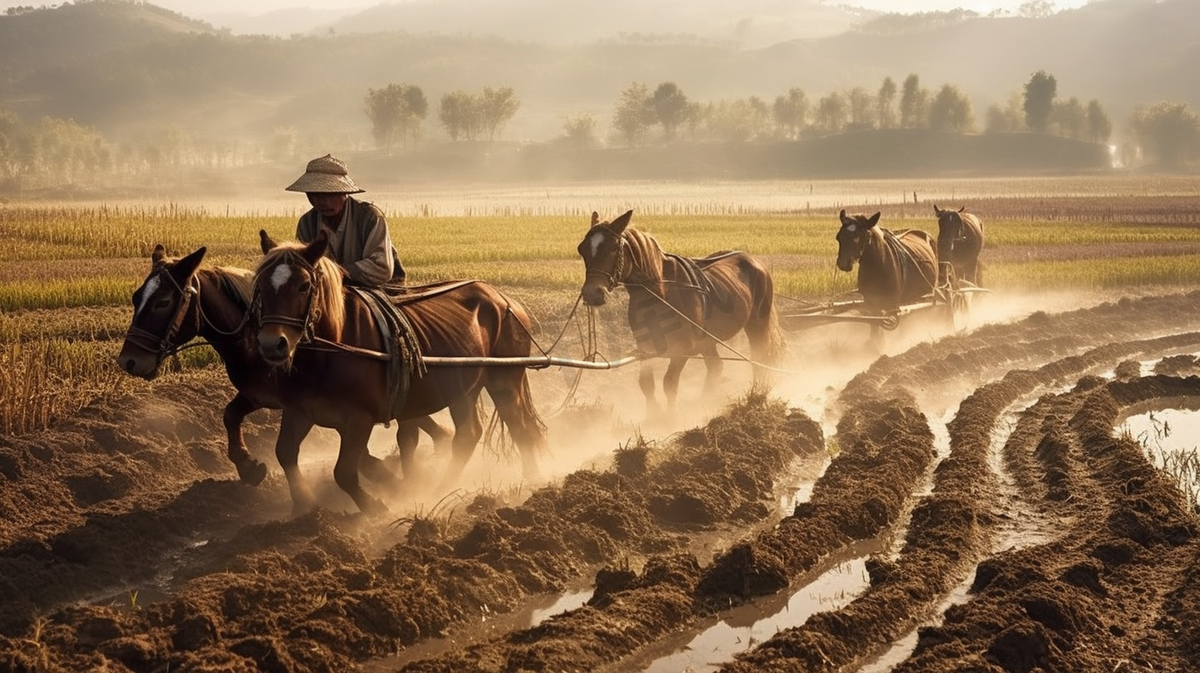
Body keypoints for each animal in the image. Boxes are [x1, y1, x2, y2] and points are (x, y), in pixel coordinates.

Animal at [117, 247, 451, 494]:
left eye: (163, 301)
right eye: (136, 297)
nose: (129, 360)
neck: (252, 344)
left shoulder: (310, 404)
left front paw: (382, 474)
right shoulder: (259, 395)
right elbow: (229, 416)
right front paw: (250, 467)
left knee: (411, 425)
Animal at [258, 230, 549, 513]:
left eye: (304, 285)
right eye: (261, 286)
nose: (272, 344)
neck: (333, 349)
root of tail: (505, 301)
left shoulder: (359, 420)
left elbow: (344, 473)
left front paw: (376, 507)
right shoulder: (299, 411)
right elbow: (285, 453)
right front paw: (303, 506)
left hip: (504, 379)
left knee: (520, 427)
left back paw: (531, 482)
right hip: (462, 389)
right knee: (468, 435)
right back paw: (443, 488)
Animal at [576, 212, 782, 415]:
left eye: (612, 248)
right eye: (582, 249)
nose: (592, 293)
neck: (660, 292)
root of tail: (754, 261)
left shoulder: (683, 349)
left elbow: (669, 383)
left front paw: (671, 418)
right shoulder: (645, 346)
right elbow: (646, 384)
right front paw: (653, 415)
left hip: (757, 324)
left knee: (758, 357)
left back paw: (755, 397)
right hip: (708, 340)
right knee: (716, 367)